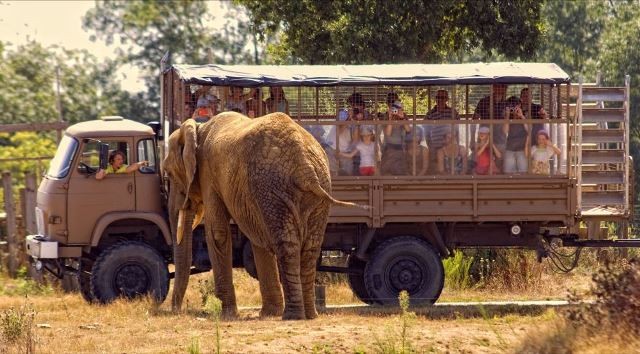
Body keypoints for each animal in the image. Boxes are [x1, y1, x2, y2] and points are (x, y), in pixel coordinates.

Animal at [162, 112, 358, 320]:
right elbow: (257, 237)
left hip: (271, 185)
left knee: (286, 244)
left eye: (169, 174)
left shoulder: (209, 175)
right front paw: (269, 314)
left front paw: (228, 315)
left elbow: (218, 233)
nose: (177, 311)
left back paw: (292, 316)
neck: (198, 128)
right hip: (315, 189)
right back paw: (310, 315)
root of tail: (306, 166)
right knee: (309, 247)